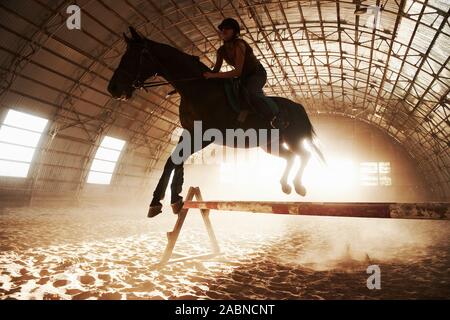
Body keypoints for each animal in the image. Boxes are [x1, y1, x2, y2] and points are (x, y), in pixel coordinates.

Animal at [106, 27, 324, 218]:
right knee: (291, 157)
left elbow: (176, 160)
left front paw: (165, 201)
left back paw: (299, 186)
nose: (113, 88)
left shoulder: (203, 136)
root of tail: (298, 106)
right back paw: (286, 186)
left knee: (304, 155)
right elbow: (173, 161)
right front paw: (169, 201)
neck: (197, 89)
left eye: (132, 56)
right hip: (270, 145)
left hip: (293, 138)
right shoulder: (189, 132)